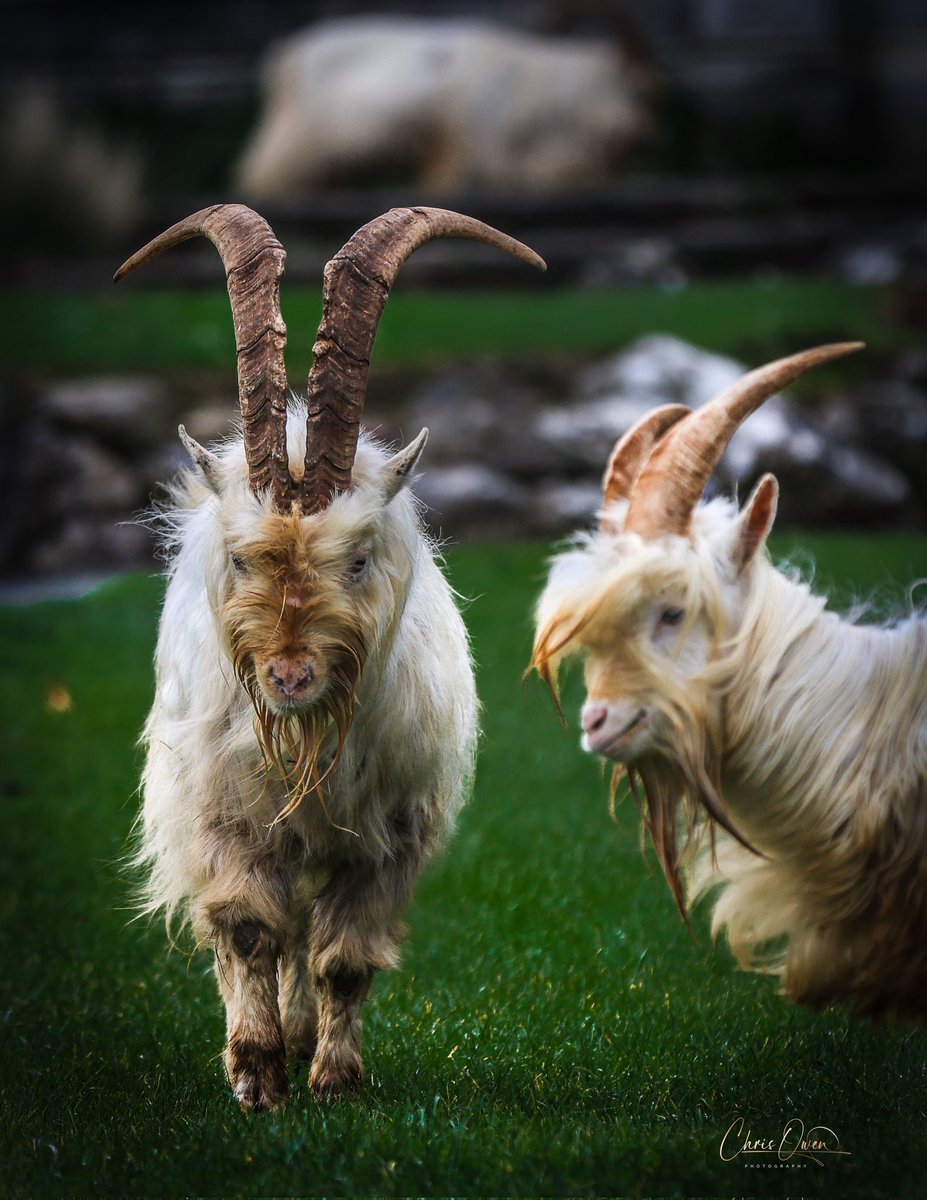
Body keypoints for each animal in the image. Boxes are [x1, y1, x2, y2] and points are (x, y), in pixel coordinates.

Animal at [116, 203, 544, 1109]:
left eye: (356, 558)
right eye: (240, 558)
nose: (288, 676)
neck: (312, 732)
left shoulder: (385, 837)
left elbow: (343, 958)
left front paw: (335, 1081)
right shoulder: (224, 815)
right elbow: (247, 930)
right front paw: (255, 1075)